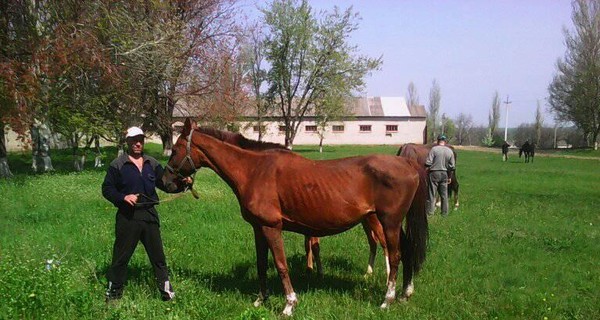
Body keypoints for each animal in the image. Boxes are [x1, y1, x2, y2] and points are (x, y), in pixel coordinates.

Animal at [162, 118, 428, 316]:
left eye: (174, 150)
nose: (165, 182)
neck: (254, 170)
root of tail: (408, 163)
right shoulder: (258, 228)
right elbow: (261, 264)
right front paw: (260, 299)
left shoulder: (272, 227)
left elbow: (281, 265)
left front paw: (289, 304)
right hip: (392, 222)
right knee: (407, 250)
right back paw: (405, 294)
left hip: (389, 222)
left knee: (395, 255)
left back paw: (387, 299)